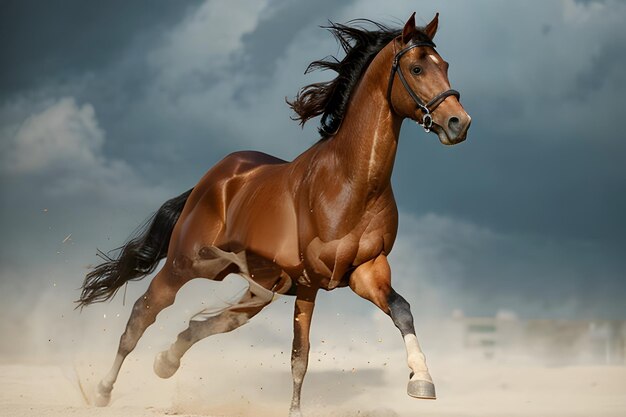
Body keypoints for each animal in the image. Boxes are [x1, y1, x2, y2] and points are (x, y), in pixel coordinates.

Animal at [78, 11, 468, 414]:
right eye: (417, 67)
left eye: (445, 65)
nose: (459, 122)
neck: (350, 183)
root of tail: (215, 178)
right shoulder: (310, 283)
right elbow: (300, 356)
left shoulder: (367, 270)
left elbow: (402, 310)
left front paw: (422, 381)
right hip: (185, 265)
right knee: (144, 312)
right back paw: (102, 390)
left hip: (262, 283)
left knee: (212, 323)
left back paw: (165, 362)